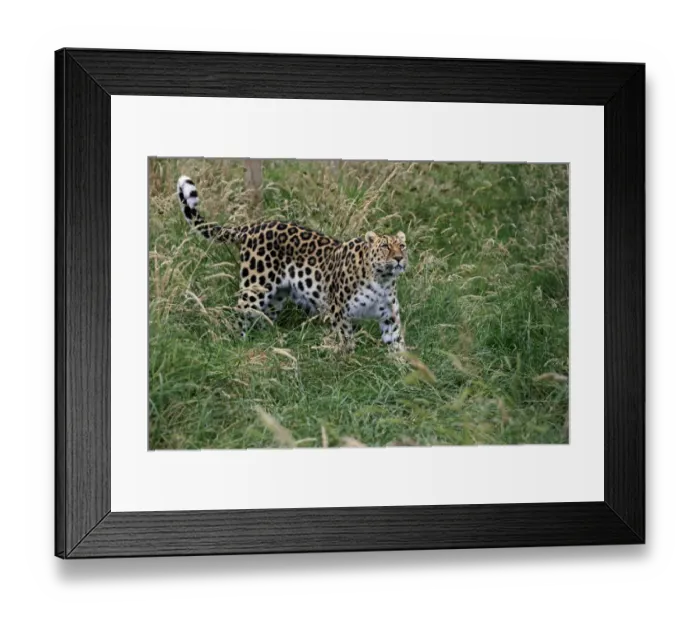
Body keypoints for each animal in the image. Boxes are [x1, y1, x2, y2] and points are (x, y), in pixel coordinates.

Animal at [177, 175, 408, 353]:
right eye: (385, 246)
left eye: (402, 246)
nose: (399, 258)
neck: (382, 280)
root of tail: (252, 226)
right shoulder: (339, 312)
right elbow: (346, 342)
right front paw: (348, 363)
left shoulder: (390, 317)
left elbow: (397, 345)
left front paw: (402, 373)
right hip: (255, 288)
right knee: (240, 313)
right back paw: (238, 343)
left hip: (276, 297)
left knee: (263, 319)